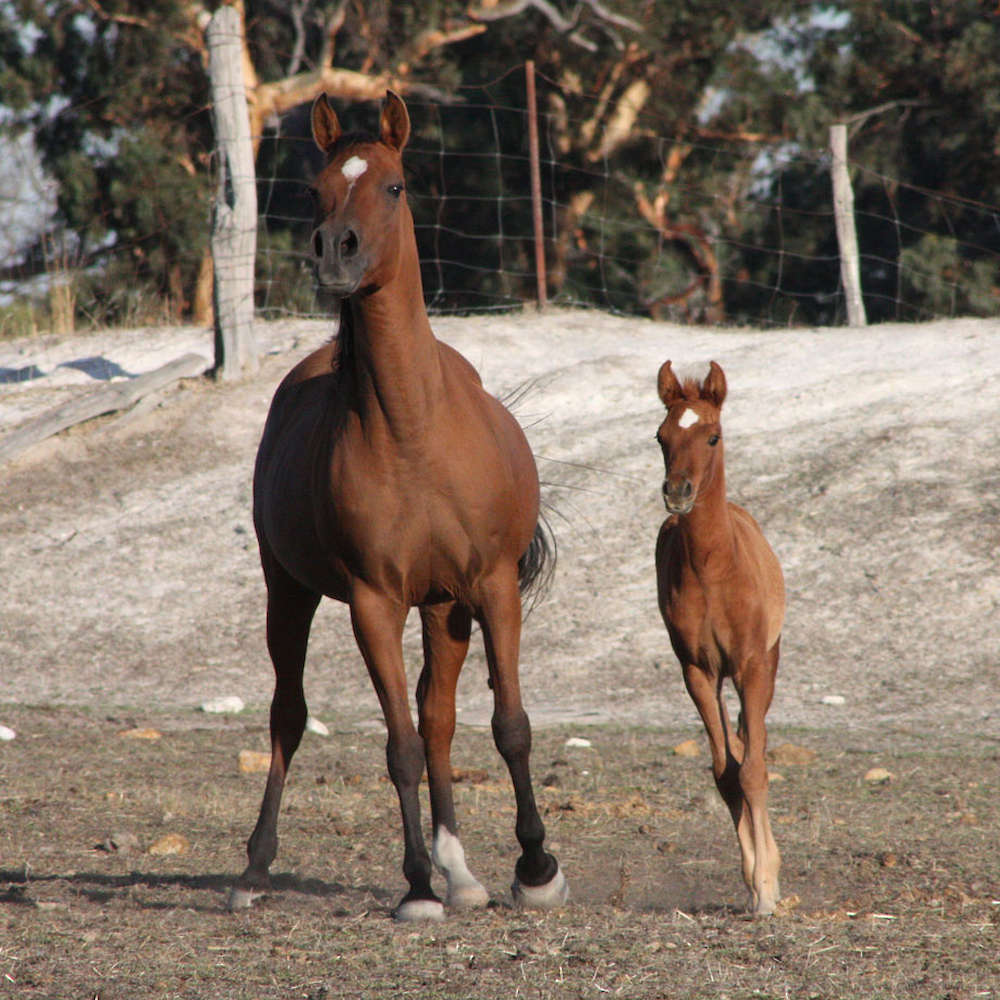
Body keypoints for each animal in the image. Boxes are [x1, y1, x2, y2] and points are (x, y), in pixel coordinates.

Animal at [228, 91, 568, 921]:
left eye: (394, 185)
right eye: (316, 189)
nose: (335, 252)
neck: (413, 429)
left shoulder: (490, 587)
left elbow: (507, 726)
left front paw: (536, 867)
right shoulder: (372, 601)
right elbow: (400, 746)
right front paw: (417, 884)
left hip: (444, 607)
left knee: (439, 717)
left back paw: (464, 872)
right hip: (290, 590)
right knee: (290, 715)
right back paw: (256, 868)